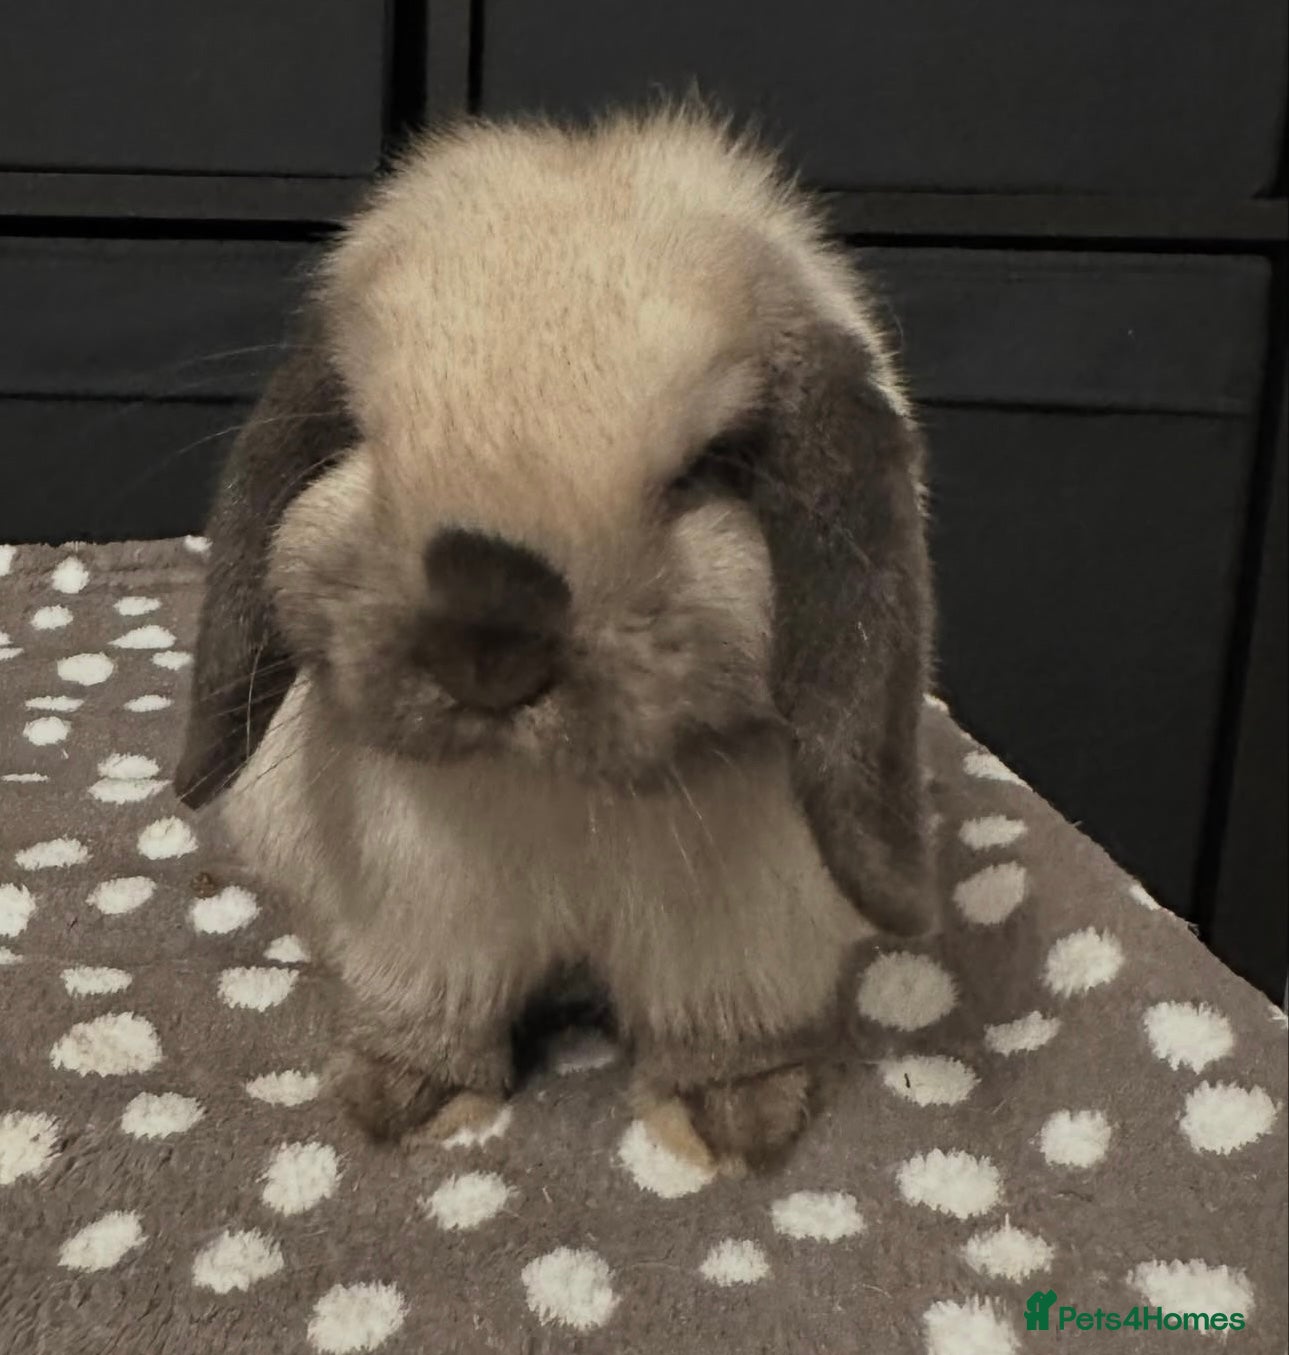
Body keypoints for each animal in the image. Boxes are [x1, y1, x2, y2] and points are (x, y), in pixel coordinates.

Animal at [174, 104, 936, 1167]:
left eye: (710, 466)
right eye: (362, 434)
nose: (488, 630)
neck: (564, 805)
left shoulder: (743, 933)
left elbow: (723, 1019)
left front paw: (737, 1124)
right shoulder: (425, 905)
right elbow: (428, 998)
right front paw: (400, 1101)